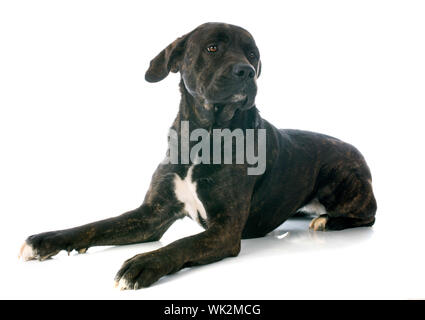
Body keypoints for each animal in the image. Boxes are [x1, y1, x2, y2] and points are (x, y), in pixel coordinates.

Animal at [18, 22, 376, 290]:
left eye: (252, 54)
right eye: (212, 48)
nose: (247, 71)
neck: (202, 138)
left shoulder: (224, 229)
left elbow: (182, 244)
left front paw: (142, 263)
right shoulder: (150, 216)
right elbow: (97, 225)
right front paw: (44, 241)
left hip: (344, 183)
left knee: (368, 215)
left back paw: (327, 221)